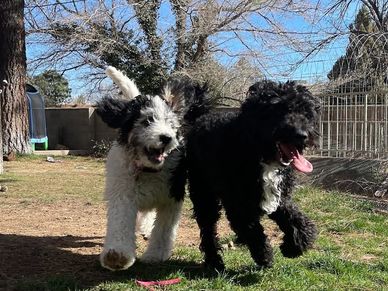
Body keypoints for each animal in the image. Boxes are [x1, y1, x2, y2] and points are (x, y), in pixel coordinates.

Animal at [98, 66, 212, 272]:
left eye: (171, 124)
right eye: (147, 121)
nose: (166, 137)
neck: (148, 169)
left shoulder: (172, 196)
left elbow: (164, 229)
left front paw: (155, 255)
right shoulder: (123, 193)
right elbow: (120, 221)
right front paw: (117, 256)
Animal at [186, 80, 320, 272]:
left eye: (306, 113)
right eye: (278, 110)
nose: (302, 135)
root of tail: (200, 117)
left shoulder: (278, 197)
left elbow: (296, 219)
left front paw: (294, 246)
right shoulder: (239, 205)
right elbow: (253, 231)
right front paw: (265, 255)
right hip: (203, 193)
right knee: (208, 229)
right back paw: (214, 262)